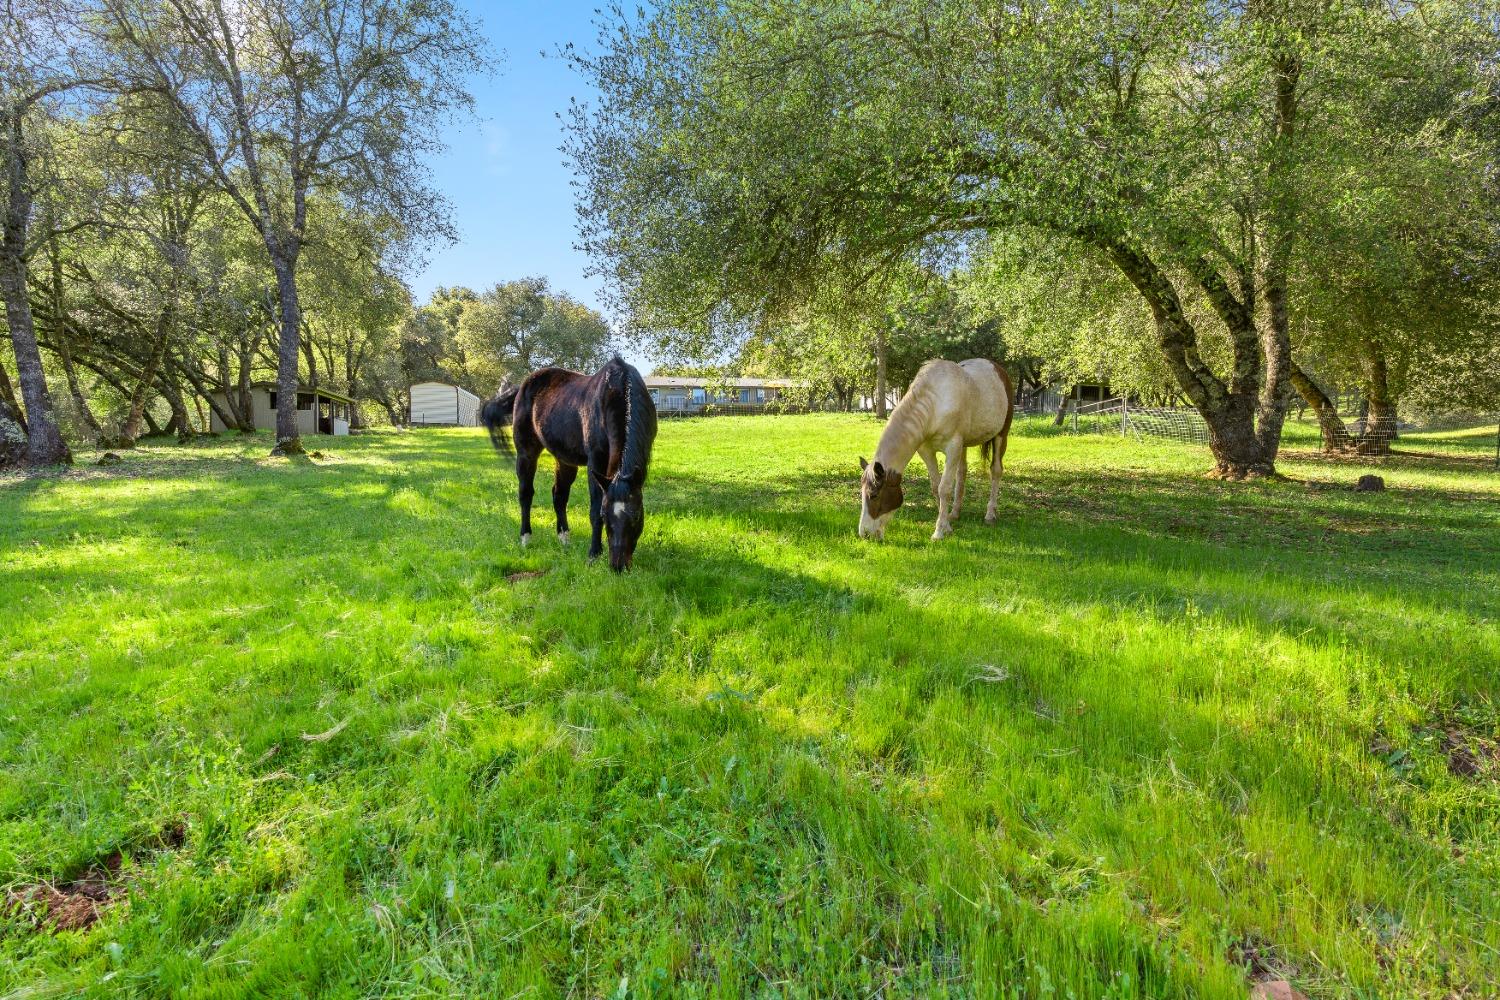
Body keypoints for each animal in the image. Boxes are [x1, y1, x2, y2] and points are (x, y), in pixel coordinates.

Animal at [480, 355, 657, 569]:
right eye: (605, 516)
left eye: (637, 516)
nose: (618, 566)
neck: (619, 392)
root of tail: (522, 385)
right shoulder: (596, 460)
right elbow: (594, 508)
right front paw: (593, 554)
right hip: (526, 454)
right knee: (525, 494)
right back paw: (526, 538)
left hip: (564, 460)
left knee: (559, 495)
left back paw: (564, 538)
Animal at [864, 359, 1014, 542]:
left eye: (873, 495)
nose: (864, 533)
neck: (934, 402)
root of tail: (999, 370)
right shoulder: (927, 451)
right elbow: (936, 486)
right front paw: (946, 525)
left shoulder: (953, 447)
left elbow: (944, 488)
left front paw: (939, 532)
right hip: (964, 445)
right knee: (962, 472)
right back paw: (954, 513)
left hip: (1001, 435)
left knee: (996, 471)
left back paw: (990, 514)